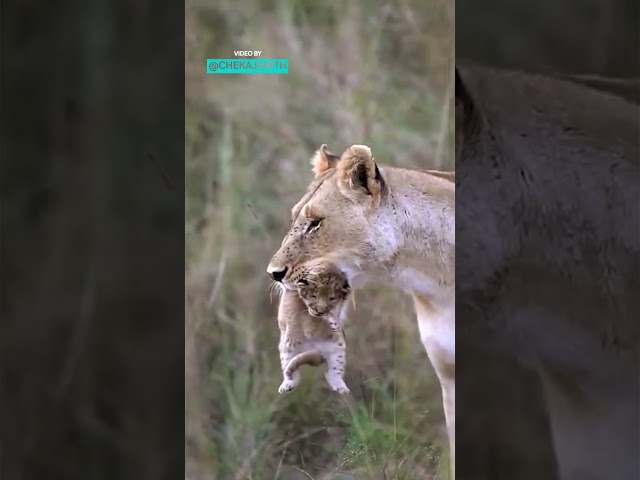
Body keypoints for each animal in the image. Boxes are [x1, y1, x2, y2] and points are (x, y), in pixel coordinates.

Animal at [276, 262, 352, 395]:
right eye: (314, 296)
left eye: (331, 298)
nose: (320, 310)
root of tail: (315, 350)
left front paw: (332, 321)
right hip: (287, 351)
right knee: (290, 372)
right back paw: (286, 385)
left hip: (337, 350)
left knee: (333, 373)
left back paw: (342, 388)